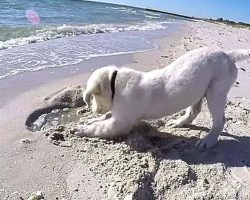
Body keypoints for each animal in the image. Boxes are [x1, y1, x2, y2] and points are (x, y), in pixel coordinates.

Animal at [73, 48, 250, 148]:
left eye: (93, 98)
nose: (92, 109)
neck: (115, 82)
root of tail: (227, 55)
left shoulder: (120, 122)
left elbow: (99, 127)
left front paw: (81, 129)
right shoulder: (118, 113)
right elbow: (105, 116)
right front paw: (90, 120)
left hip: (216, 92)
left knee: (220, 120)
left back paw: (209, 141)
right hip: (199, 90)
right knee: (194, 111)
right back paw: (179, 122)